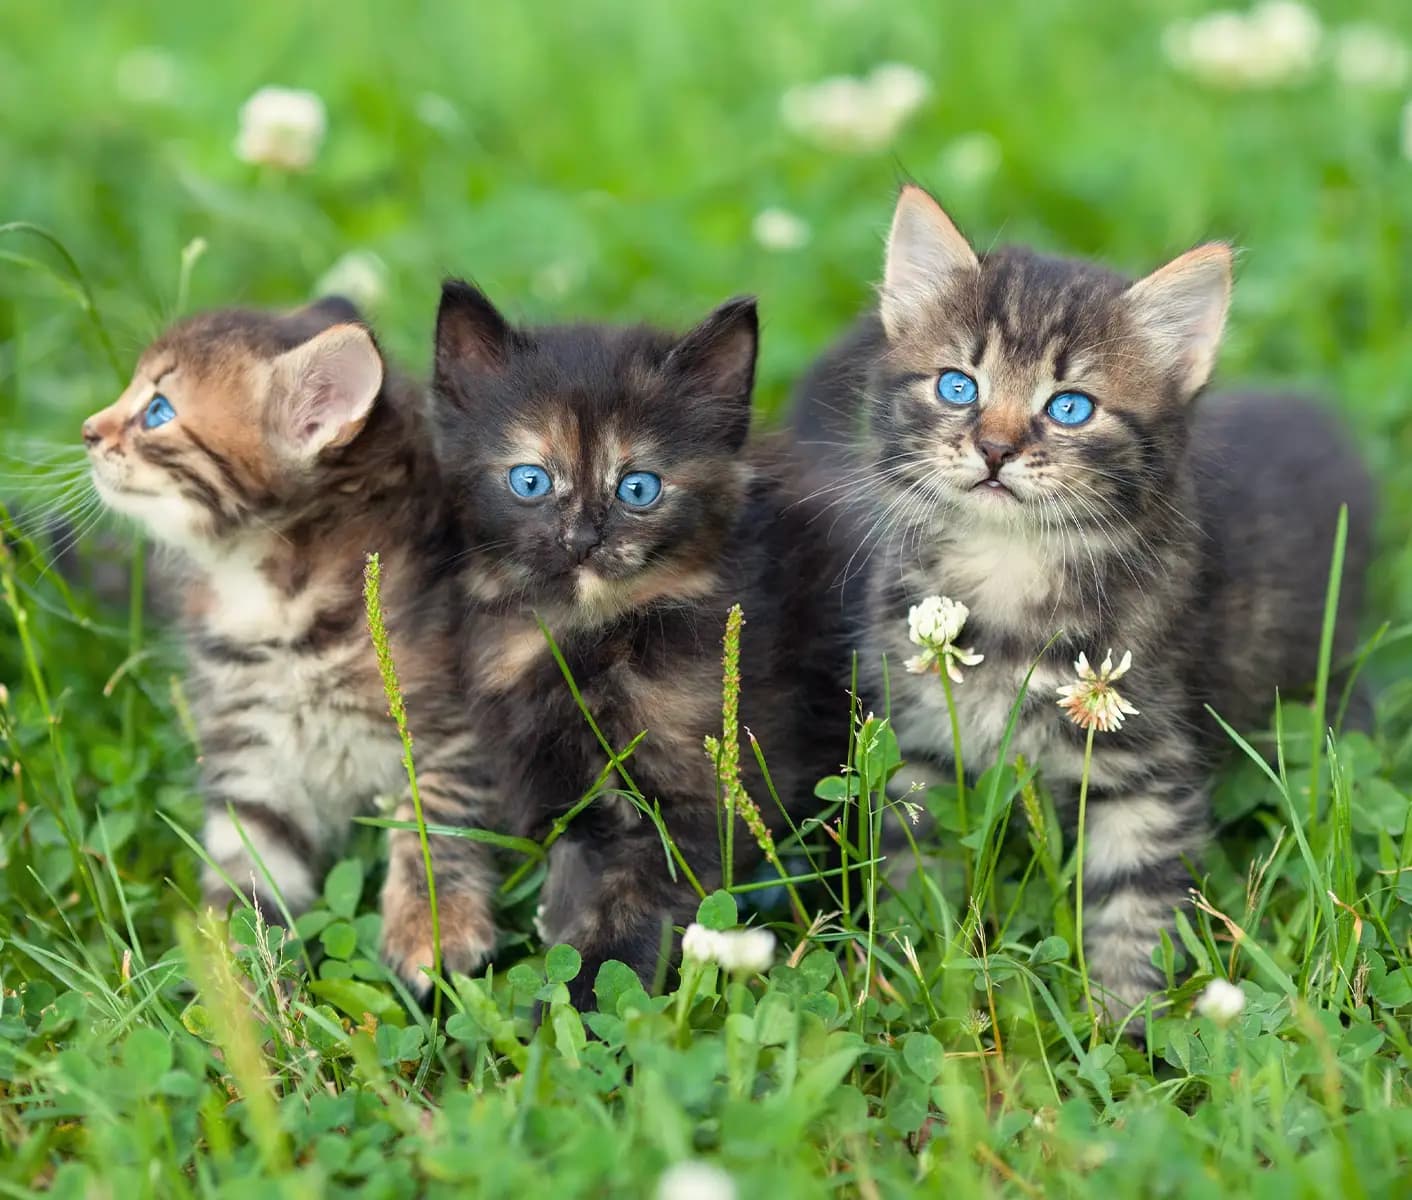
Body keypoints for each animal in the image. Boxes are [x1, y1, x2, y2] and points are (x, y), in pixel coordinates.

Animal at [84, 295, 502, 988]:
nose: (89, 431)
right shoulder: (250, 759)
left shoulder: (450, 720)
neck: (274, 605)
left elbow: (435, 823)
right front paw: (244, 991)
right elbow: (246, 882)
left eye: (158, 411)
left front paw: (431, 928)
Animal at [429, 285, 847, 1005]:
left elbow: (636, 899)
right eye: (530, 481)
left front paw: (586, 994)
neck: (592, 640)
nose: (582, 540)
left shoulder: (708, 787)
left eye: (638, 488)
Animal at [796, 184, 1366, 1022]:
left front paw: (1123, 1028)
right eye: (958, 386)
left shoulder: (1147, 770)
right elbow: (912, 870)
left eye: (1069, 408)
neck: (1009, 570)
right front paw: (906, 981)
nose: (995, 448)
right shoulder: (922, 742)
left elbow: (1135, 904)